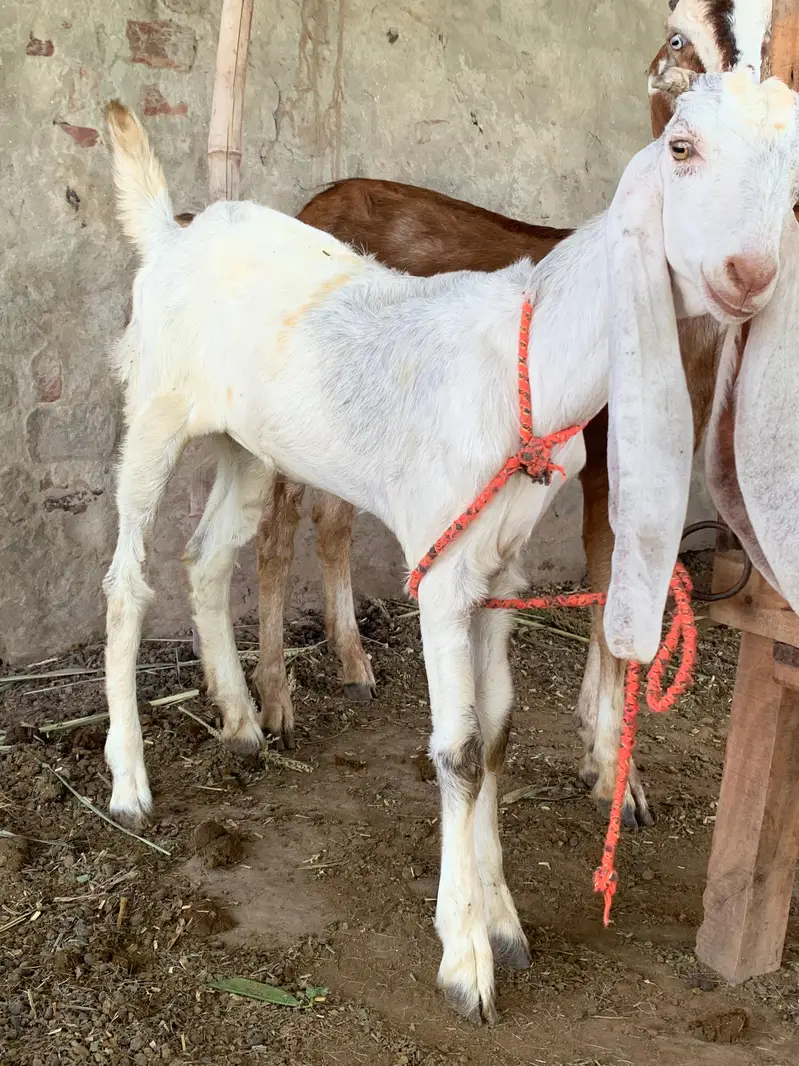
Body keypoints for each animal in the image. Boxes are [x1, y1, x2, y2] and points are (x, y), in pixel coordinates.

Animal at [103, 73, 799, 1023]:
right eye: (680, 147)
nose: (747, 277)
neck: (529, 363)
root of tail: (174, 232)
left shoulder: (499, 569)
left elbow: (497, 733)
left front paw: (501, 921)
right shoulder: (440, 566)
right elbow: (460, 751)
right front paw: (464, 957)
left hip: (248, 446)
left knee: (206, 557)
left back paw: (242, 721)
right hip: (155, 413)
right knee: (127, 581)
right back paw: (129, 783)